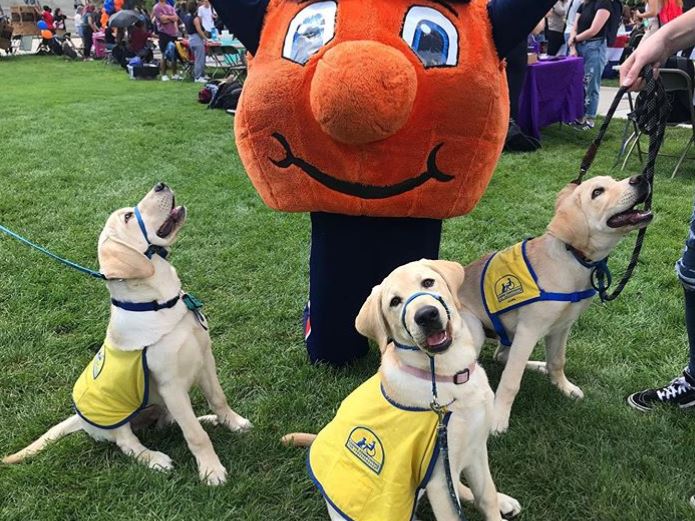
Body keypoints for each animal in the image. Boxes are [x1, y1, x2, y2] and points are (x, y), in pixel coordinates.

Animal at [2, 182, 253, 484]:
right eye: (128, 217)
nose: (161, 184)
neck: (161, 303)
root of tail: (79, 419)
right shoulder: (171, 386)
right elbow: (195, 435)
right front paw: (211, 470)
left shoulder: (205, 358)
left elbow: (218, 399)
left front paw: (234, 423)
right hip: (116, 418)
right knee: (128, 442)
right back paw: (154, 459)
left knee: (170, 423)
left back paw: (206, 419)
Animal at [460, 175, 656, 434]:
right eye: (597, 192)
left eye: (615, 180)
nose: (641, 177)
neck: (572, 259)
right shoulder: (529, 330)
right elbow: (511, 380)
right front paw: (498, 419)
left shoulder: (562, 327)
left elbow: (557, 360)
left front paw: (564, 386)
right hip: (475, 329)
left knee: (501, 356)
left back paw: (538, 365)